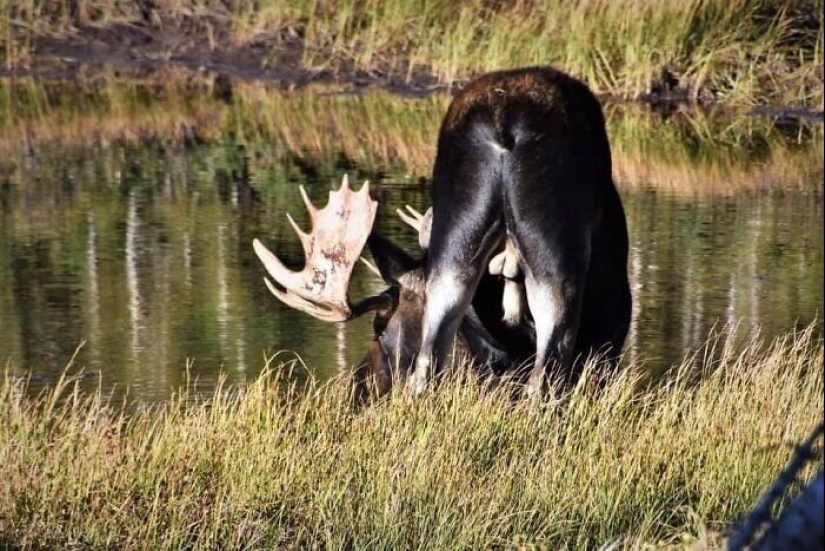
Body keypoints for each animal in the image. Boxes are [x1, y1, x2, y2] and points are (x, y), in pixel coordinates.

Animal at [251, 67, 632, 402]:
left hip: (456, 244)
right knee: (546, 374)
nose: (356, 388)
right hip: (555, 256)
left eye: (378, 329)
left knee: (428, 363)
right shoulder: (613, 316)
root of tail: (503, 121)